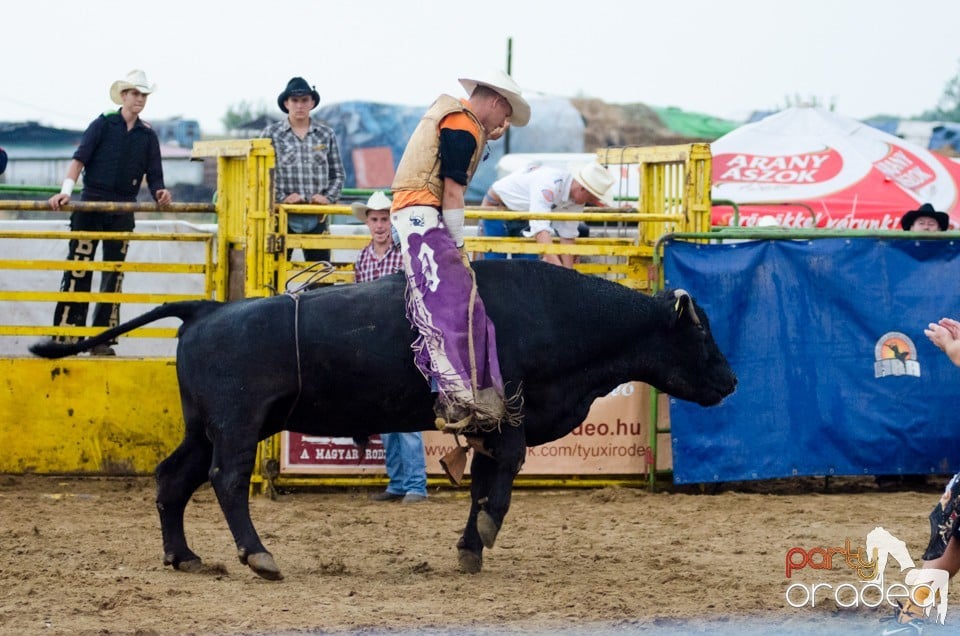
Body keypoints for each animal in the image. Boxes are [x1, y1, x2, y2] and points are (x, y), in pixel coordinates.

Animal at [30, 260, 736, 580]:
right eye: (702, 334)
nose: (731, 382)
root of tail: (207, 309)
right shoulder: (508, 415)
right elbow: (501, 477)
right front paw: (483, 534)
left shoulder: (488, 423)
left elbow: (484, 479)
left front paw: (469, 546)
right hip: (235, 425)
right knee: (226, 482)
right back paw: (259, 555)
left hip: (202, 426)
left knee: (172, 479)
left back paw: (185, 556)